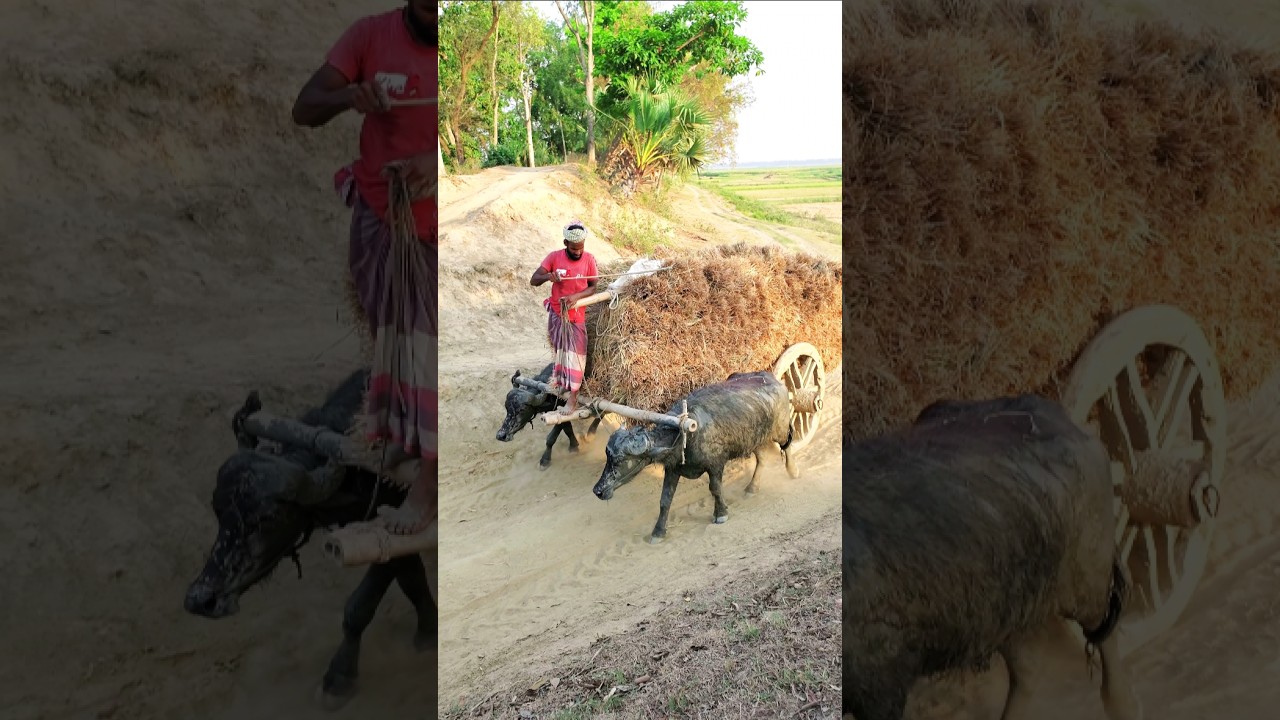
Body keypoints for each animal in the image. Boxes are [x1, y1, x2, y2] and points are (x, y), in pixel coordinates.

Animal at [184, 369, 435, 709]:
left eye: (267, 518)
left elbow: (359, 606)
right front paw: (429, 630)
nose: (202, 599)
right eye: (218, 510)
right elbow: (412, 579)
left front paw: (339, 678)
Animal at [592, 370, 798, 543]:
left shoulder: (715, 465)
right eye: (608, 457)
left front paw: (721, 514)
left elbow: (715, 489)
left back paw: (793, 471)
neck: (687, 434)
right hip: (755, 437)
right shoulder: (673, 469)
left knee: (787, 444)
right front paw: (658, 532)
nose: (598, 491)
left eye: (620, 460)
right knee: (762, 458)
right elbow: (665, 500)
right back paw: (752, 488)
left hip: (780, 429)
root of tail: (774, 379)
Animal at [843, 394, 1143, 720]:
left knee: (1104, 633)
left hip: (1088, 575)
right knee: (1028, 669)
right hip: (1008, 604)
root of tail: (1063, 420)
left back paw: (1123, 705)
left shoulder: (882, 679)